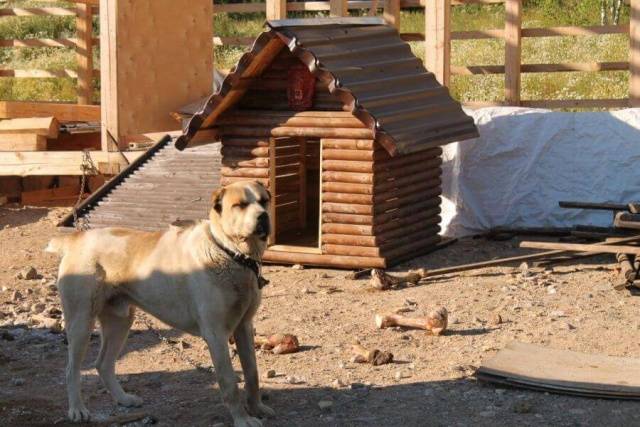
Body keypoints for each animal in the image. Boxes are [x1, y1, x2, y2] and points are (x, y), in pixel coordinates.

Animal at [45, 181, 276, 427]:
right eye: (240, 205)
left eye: (264, 201)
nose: (263, 217)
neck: (229, 252)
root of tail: (75, 239)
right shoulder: (216, 335)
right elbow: (230, 382)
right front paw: (242, 419)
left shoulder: (244, 327)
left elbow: (252, 372)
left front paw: (257, 408)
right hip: (81, 322)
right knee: (72, 369)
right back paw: (77, 409)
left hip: (120, 322)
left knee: (103, 364)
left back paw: (124, 399)